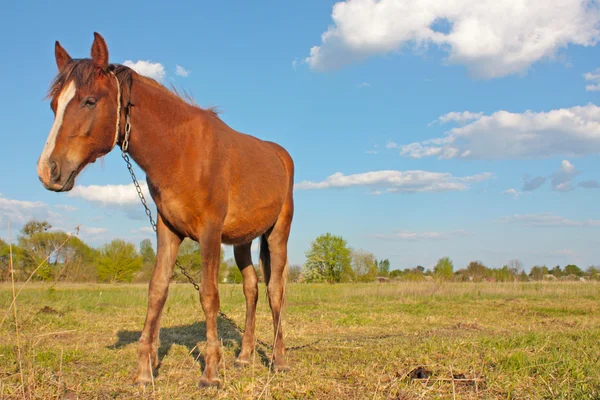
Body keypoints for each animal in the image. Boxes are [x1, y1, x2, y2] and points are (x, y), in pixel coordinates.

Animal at [36, 32, 294, 388]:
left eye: (89, 101)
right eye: (54, 105)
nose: (48, 171)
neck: (181, 150)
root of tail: (281, 156)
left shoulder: (209, 232)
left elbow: (209, 295)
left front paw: (211, 373)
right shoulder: (168, 230)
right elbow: (157, 290)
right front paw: (145, 371)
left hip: (277, 234)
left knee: (275, 291)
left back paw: (279, 361)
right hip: (242, 241)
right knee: (251, 288)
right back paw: (243, 356)